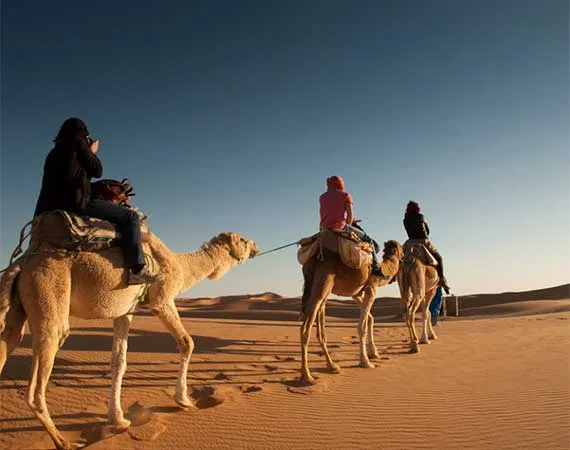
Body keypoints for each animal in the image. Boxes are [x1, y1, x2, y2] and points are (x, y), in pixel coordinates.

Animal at [0, 229, 258, 450]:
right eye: (243, 240)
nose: (256, 247)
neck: (180, 266)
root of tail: (21, 264)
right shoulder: (161, 300)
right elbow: (187, 342)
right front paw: (184, 400)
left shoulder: (126, 311)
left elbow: (119, 361)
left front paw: (118, 419)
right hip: (49, 294)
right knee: (38, 380)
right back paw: (64, 442)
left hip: (18, 310)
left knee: (9, 339)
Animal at [298, 239, 400, 384]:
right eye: (402, 248)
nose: (404, 257)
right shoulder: (371, 289)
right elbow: (362, 326)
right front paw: (365, 362)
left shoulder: (356, 293)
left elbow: (370, 319)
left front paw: (374, 353)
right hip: (322, 284)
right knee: (305, 328)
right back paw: (307, 376)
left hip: (321, 289)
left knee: (320, 330)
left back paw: (332, 366)